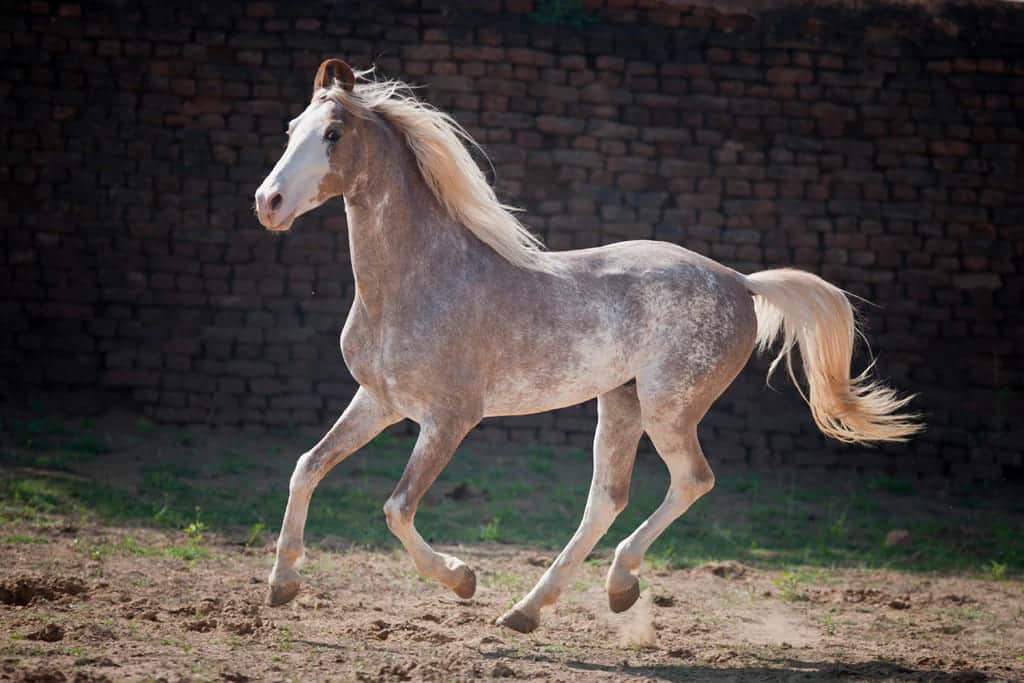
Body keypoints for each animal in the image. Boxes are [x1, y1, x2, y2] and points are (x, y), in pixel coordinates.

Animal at [253, 60, 921, 634]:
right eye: (290, 130)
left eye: (333, 133)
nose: (268, 203)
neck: (418, 281)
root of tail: (740, 281)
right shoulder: (379, 401)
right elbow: (306, 467)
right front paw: (282, 585)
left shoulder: (449, 419)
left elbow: (396, 508)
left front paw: (463, 579)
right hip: (620, 402)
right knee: (607, 498)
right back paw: (529, 610)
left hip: (668, 408)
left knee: (691, 480)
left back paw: (616, 586)